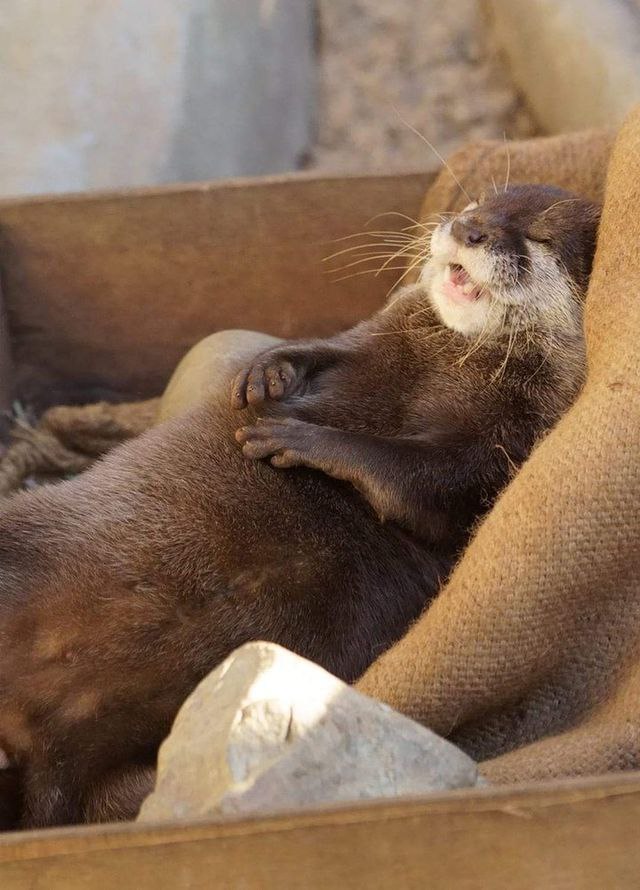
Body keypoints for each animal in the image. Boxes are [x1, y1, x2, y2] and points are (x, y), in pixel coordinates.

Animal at [0, 185, 599, 828]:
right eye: (481, 203)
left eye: (538, 235)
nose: (469, 230)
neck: (454, 364)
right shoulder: (377, 336)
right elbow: (325, 347)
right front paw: (268, 371)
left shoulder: (500, 451)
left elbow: (421, 488)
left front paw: (300, 438)